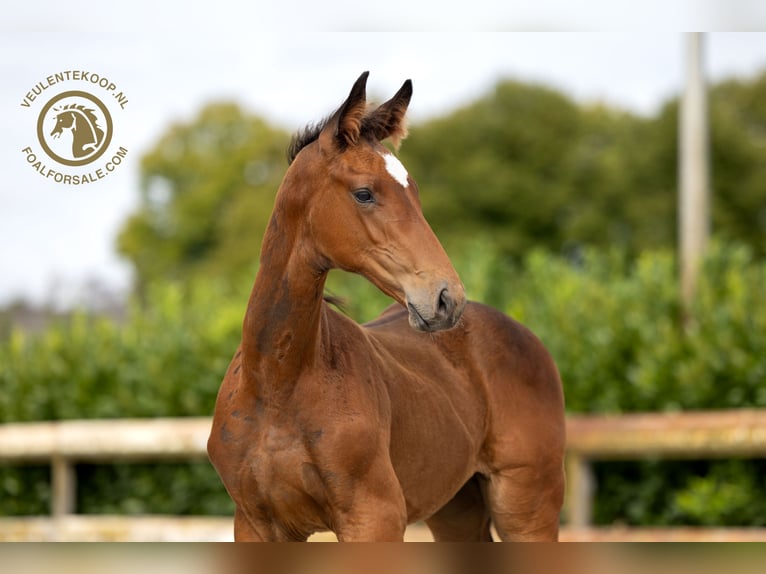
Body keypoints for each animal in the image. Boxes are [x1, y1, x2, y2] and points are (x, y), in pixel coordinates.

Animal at [207, 73, 568, 544]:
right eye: (364, 193)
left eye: (414, 192)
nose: (446, 298)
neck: (276, 384)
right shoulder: (255, 525)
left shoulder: (374, 518)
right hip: (456, 508)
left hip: (528, 508)